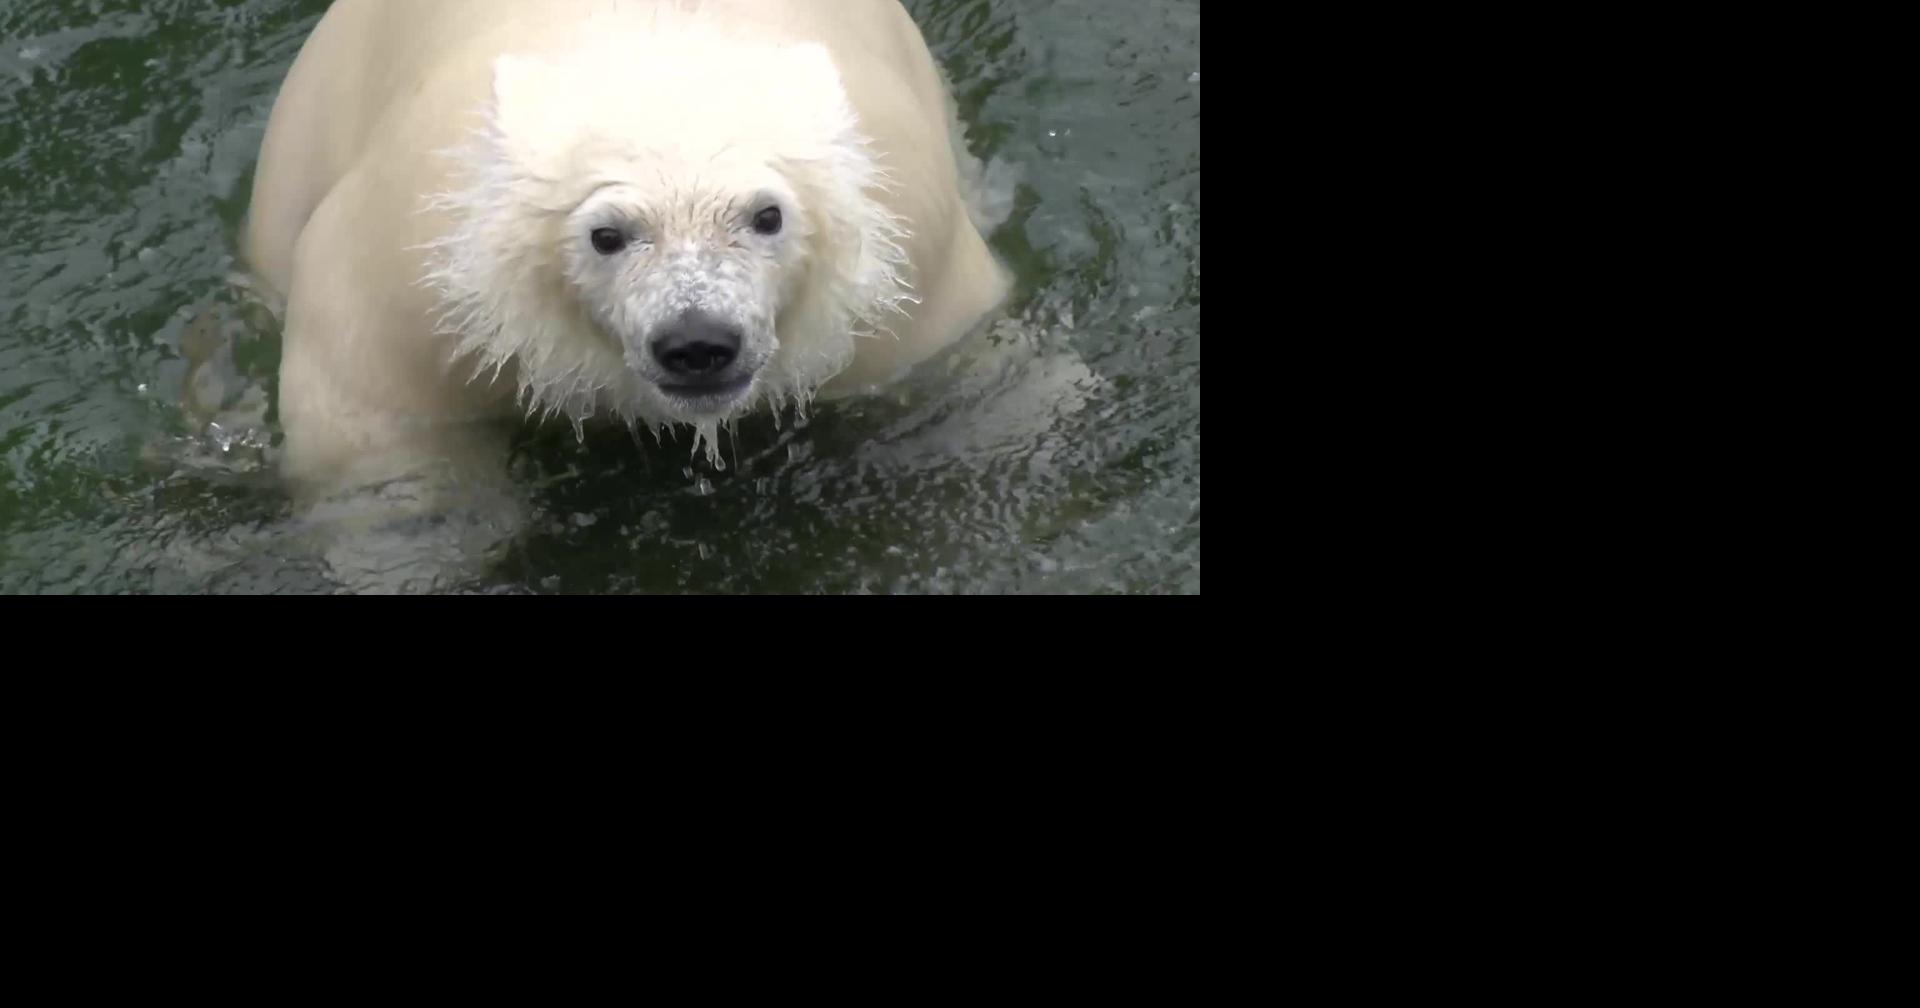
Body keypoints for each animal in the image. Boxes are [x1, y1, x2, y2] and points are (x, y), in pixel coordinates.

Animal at [243, 0, 1011, 581]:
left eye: (767, 215)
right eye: (606, 234)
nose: (698, 342)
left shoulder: (907, 277)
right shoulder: (412, 278)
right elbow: (377, 442)